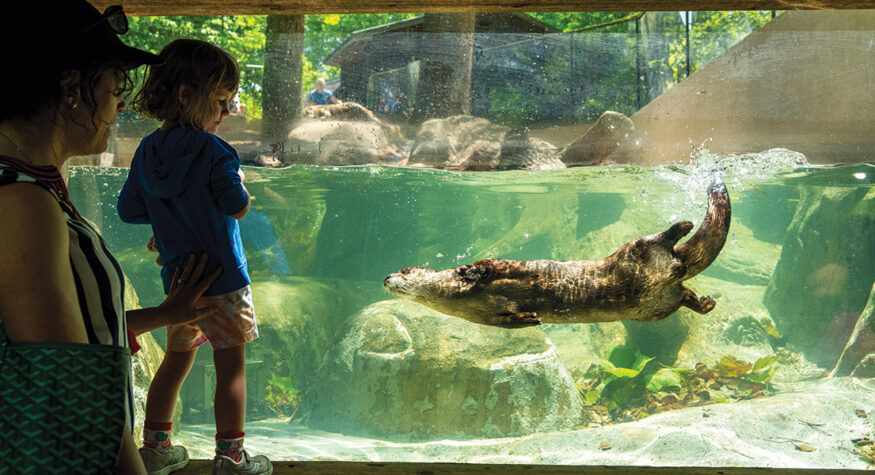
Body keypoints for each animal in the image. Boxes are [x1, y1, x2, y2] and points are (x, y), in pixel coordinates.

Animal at [384, 180, 730, 327]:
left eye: (404, 270)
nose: (386, 276)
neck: (451, 296)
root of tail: (676, 263)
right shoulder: (488, 319)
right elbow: (507, 322)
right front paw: (531, 319)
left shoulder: (497, 267)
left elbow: (492, 264)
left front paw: (473, 271)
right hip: (655, 307)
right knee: (683, 293)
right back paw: (705, 303)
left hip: (632, 253)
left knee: (652, 240)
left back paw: (681, 225)